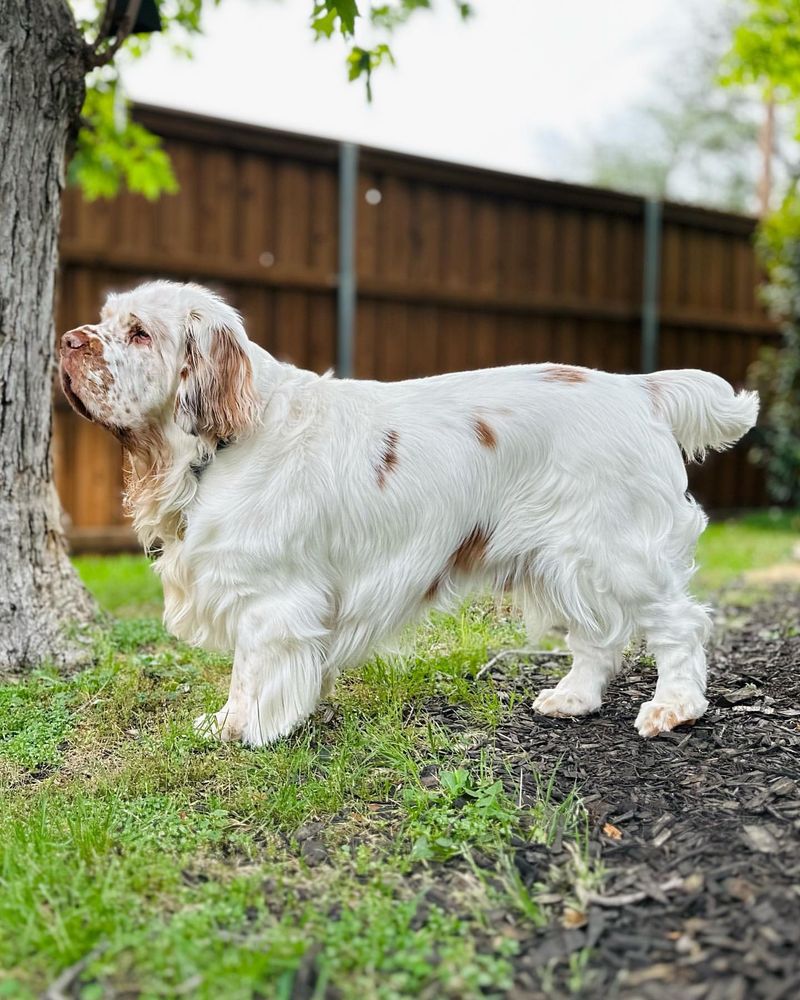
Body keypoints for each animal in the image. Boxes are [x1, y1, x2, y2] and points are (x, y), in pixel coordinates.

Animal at [59, 280, 760, 744]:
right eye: (103, 320)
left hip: (618, 552)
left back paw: (674, 707)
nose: (67, 340)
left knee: (680, 625)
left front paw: (242, 729)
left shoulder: (271, 599)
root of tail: (639, 388)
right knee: (597, 637)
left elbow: (251, 672)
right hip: (563, 556)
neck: (222, 442)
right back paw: (572, 699)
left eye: (140, 333)